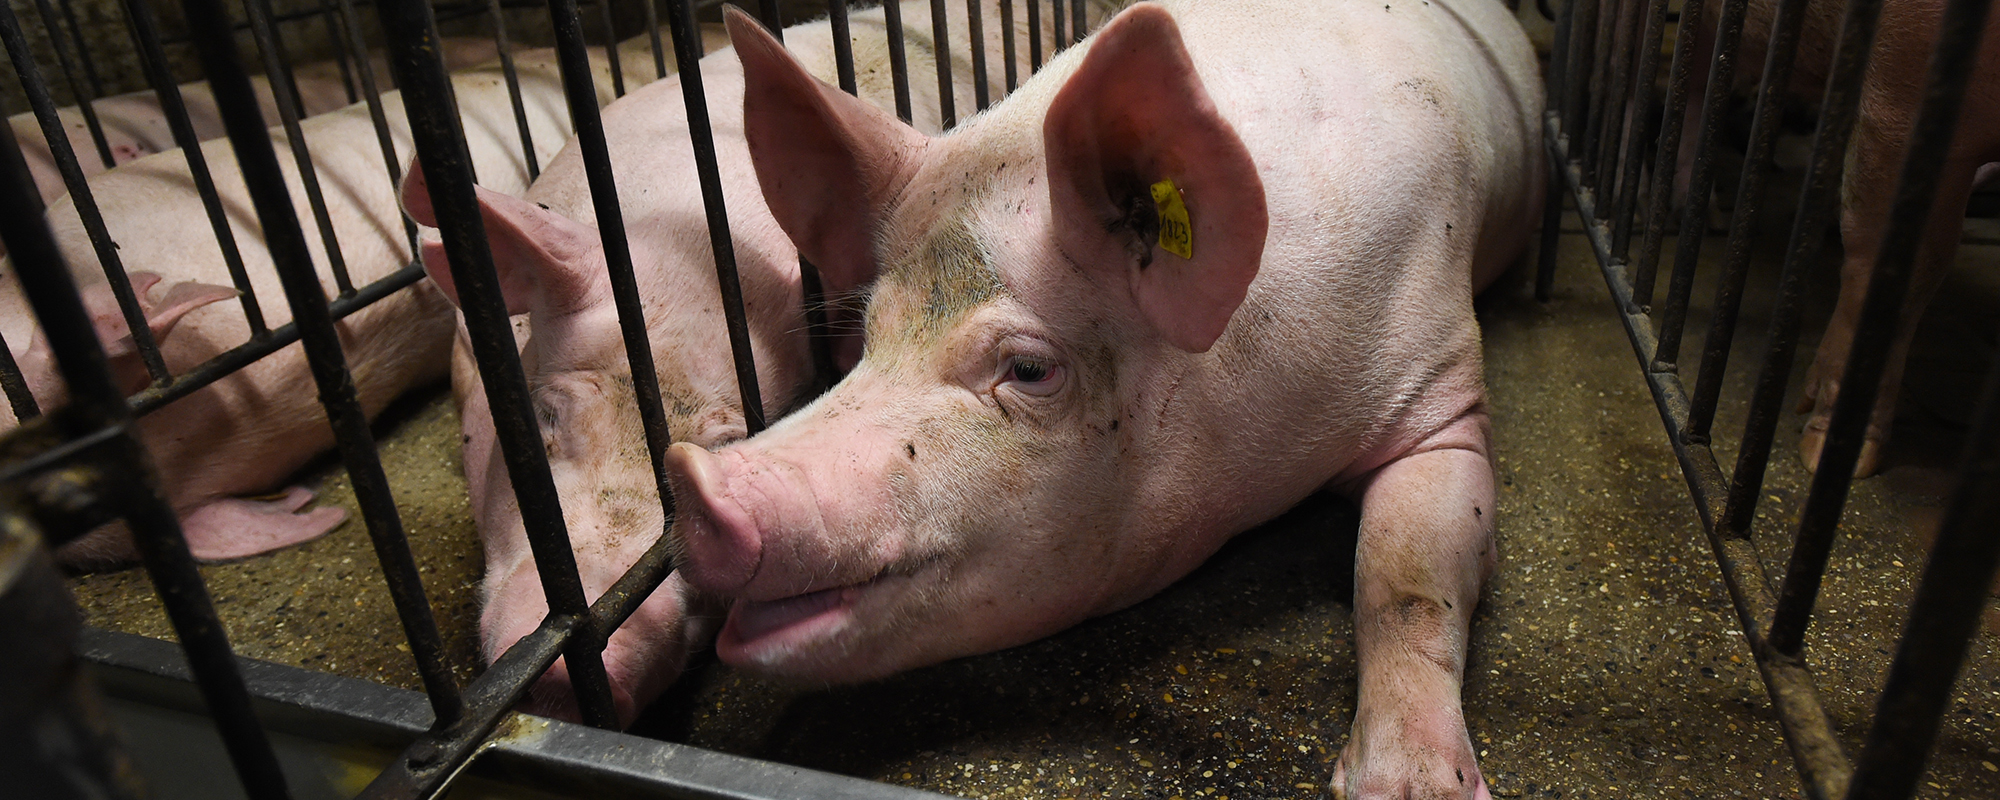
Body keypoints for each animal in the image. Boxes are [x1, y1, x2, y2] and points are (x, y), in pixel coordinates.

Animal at [664, 1, 1536, 800]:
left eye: (1027, 368)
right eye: (870, 335)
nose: (693, 479)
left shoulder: (1441, 383)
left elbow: (1403, 574)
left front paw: (1411, 788)